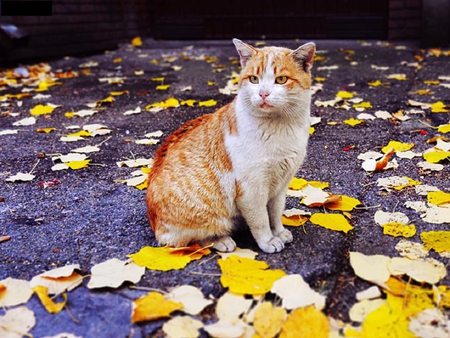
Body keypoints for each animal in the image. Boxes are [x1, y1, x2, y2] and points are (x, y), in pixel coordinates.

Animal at [146, 38, 314, 252]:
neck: (281, 127)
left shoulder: (281, 186)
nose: (263, 94)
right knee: (189, 241)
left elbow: (275, 213)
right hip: (206, 218)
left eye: (281, 80)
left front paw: (278, 232)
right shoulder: (251, 190)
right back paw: (221, 240)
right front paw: (268, 240)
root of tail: (154, 224)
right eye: (254, 79)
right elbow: (261, 221)